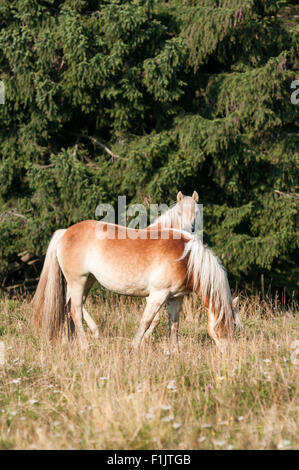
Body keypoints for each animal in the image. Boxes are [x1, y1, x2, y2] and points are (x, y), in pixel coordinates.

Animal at [32, 192, 241, 352]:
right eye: (231, 324)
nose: (229, 352)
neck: (186, 259)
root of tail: (65, 231)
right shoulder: (157, 294)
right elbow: (147, 321)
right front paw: (133, 347)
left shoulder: (175, 298)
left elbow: (174, 324)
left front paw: (174, 351)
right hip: (77, 281)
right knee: (75, 311)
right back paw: (85, 346)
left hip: (88, 282)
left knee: (72, 309)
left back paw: (74, 341)